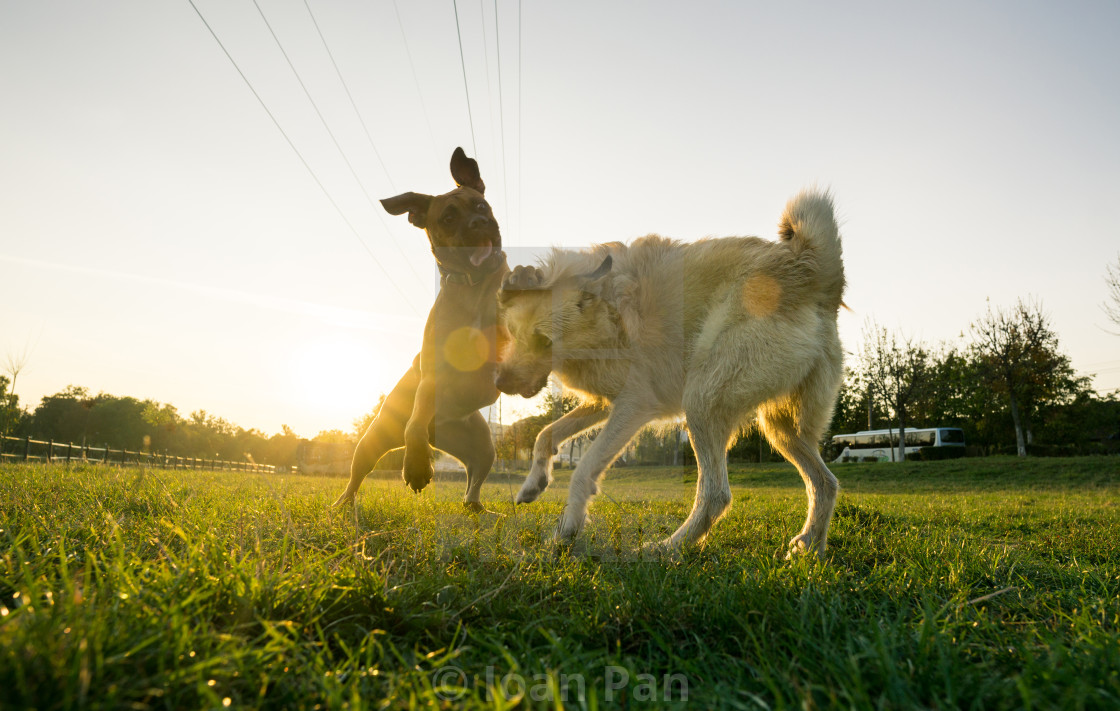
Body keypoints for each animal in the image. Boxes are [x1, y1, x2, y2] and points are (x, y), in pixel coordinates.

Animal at [331, 147, 508, 512]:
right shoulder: (431, 377)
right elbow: (414, 428)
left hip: (484, 445)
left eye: (480, 206)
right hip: (375, 436)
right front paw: (415, 468)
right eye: (448, 218)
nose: (478, 224)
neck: (474, 288)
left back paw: (482, 510)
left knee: (471, 488)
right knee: (357, 476)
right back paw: (342, 506)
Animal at [495, 189, 842, 555]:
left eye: (544, 340)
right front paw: (533, 484)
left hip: (703, 402)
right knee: (825, 482)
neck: (608, 312)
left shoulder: (634, 406)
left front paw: (566, 530)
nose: (498, 382)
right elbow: (545, 434)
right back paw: (810, 547)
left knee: (715, 494)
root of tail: (811, 270)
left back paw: (666, 549)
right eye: (511, 332)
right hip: (781, 428)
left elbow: (584, 468)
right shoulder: (606, 402)